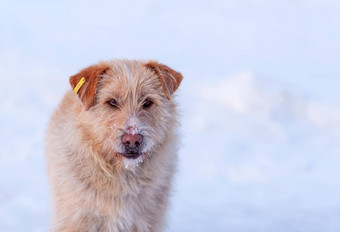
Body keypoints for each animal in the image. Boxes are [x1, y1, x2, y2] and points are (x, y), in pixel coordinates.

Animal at [45, 60, 183, 232]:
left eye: (147, 102)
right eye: (112, 102)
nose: (133, 140)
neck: (122, 175)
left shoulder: (147, 221)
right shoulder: (76, 219)